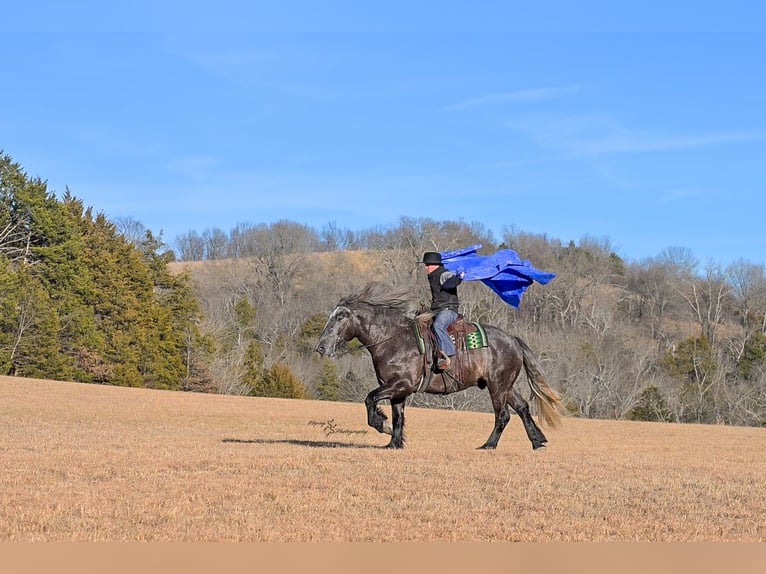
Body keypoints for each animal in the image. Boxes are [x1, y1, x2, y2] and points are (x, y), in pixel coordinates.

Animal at [314, 281, 566, 450]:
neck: (394, 340)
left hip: (498, 387)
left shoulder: (401, 384)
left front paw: (381, 424)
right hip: (505, 386)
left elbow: (370, 399)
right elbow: (398, 416)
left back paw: (488, 445)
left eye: (340, 317)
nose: (321, 347)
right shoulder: (397, 390)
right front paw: (394, 443)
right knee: (522, 407)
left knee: (503, 415)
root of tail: (513, 339)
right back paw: (537, 441)